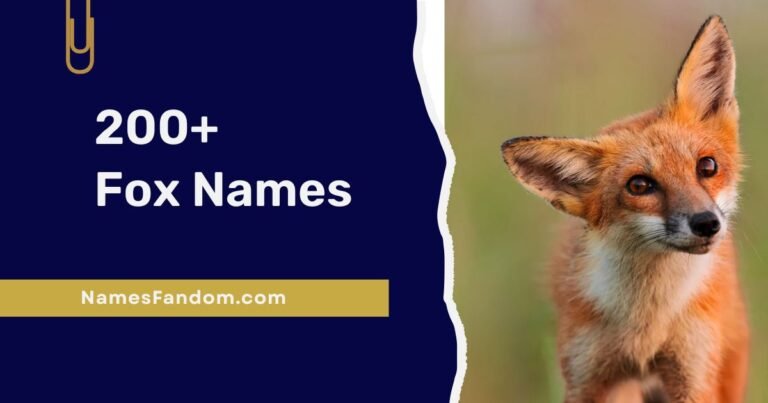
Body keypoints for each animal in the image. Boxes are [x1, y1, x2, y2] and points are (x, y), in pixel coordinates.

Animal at [500, 16, 749, 403]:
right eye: (639, 186)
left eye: (707, 166)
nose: (706, 223)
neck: (647, 323)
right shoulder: (587, 378)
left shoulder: (693, 376)